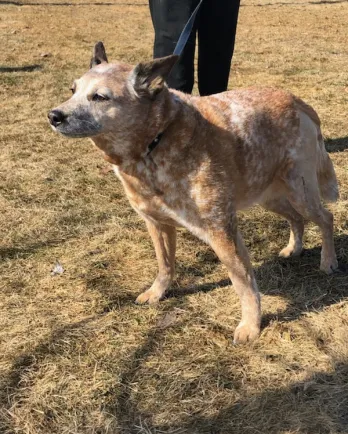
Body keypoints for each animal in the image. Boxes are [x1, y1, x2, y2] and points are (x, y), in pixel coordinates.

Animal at [47, 42, 338, 344]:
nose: (53, 116)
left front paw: (251, 326)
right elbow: (165, 264)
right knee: (296, 218)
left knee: (325, 217)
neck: (154, 143)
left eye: (100, 97)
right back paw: (294, 248)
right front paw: (157, 293)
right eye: (72, 90)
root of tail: (297, 101)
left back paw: (328, 261)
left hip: (300, 190)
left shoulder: (222, 230)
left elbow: (244, 283)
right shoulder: (156, 223)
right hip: (270, 195)